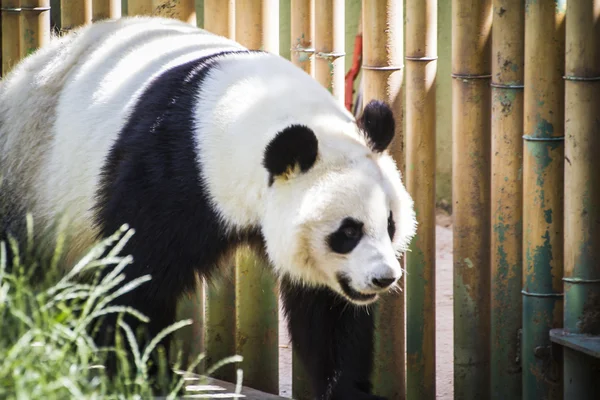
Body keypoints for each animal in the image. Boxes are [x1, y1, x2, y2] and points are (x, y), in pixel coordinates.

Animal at [0, 16, 414, 400]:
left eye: (390, 224)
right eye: (348, 231)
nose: (384, 278)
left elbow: (328, 310)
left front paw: (348, 388)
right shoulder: (168, 172)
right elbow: (136, 278)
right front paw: (143, 378)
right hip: (28, 172)